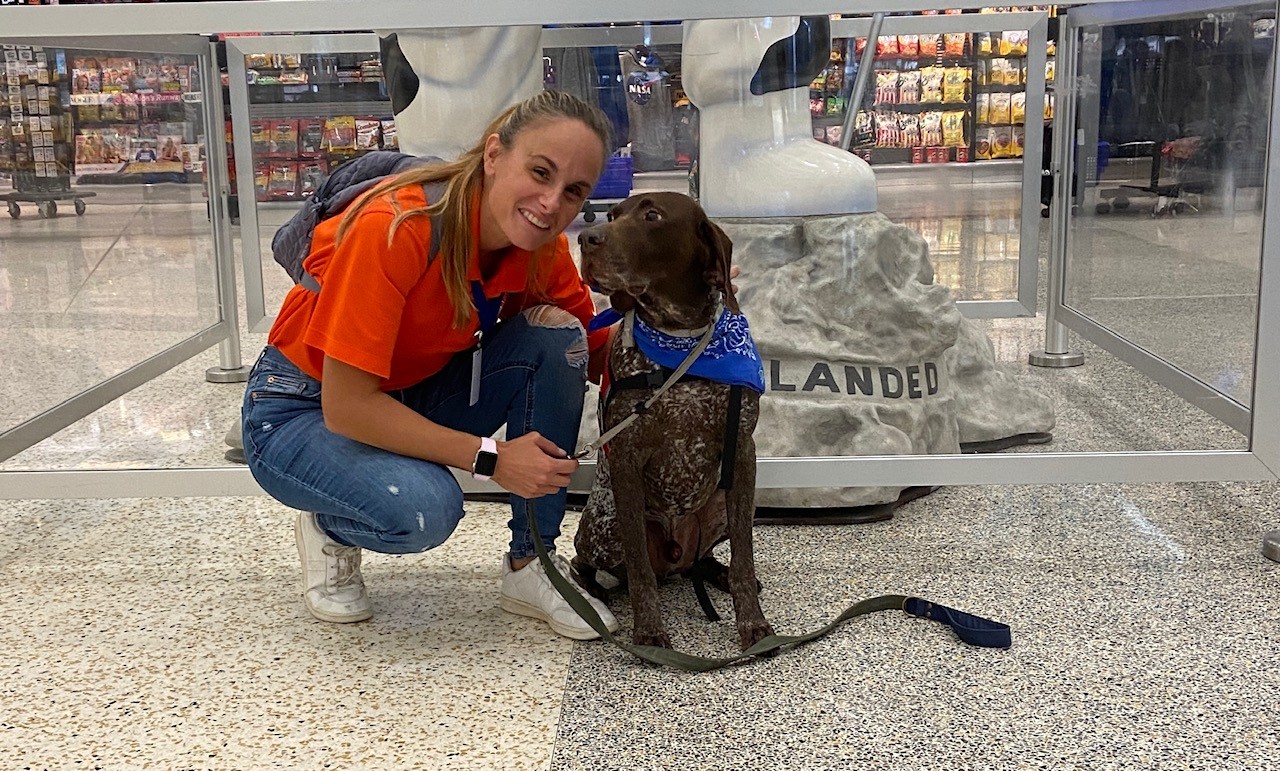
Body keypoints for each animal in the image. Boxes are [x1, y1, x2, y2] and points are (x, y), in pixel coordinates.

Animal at [578, 192, 773, 648]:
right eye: (613, 214)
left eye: (653, 215)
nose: (584, 238)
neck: (680, 343)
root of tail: (674, 558)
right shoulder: (626, 458)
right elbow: (639, 571)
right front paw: (648, 631)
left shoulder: (742, 450)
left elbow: (744, 557)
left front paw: (751, 622)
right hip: (603, 527)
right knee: (586, 559)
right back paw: (592, 591)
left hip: (723, 506)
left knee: (703, 559)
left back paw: (715, 573)